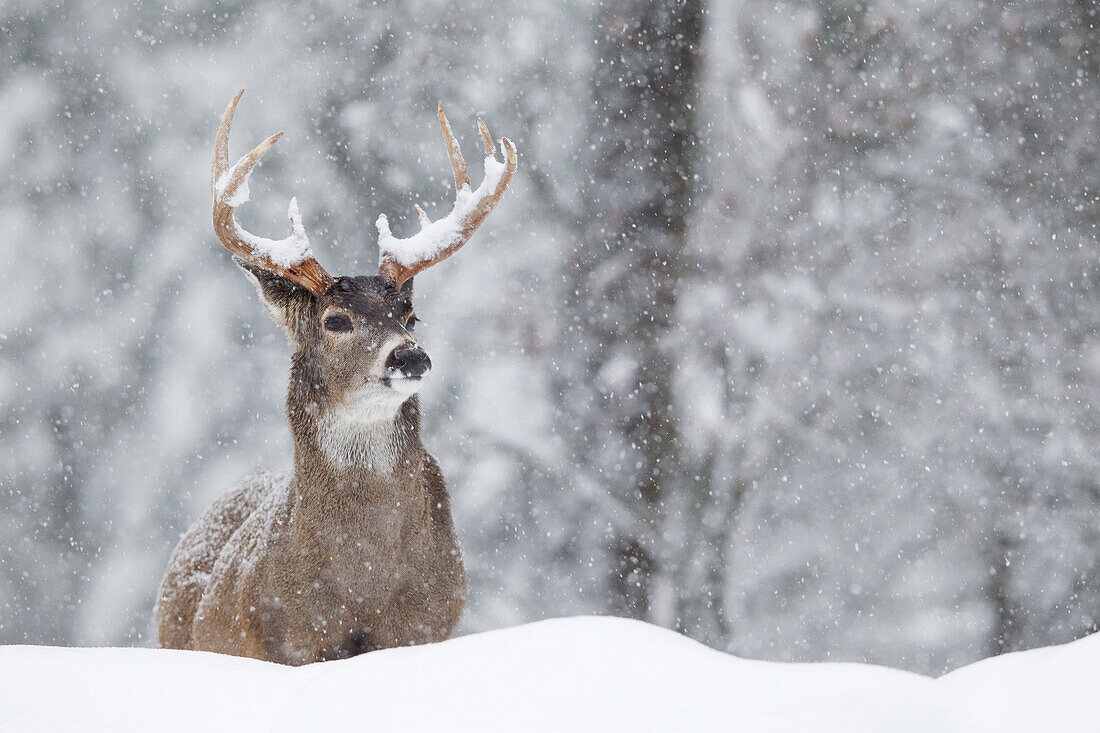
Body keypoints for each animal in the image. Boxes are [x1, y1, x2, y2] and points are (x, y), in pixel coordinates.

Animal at [152, 89, 517, 660]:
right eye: (336, 320)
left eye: (410, 315)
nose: (410, 357)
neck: (363, 581)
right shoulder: (289, 642)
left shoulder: (424, 627)